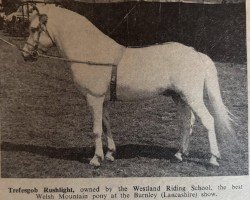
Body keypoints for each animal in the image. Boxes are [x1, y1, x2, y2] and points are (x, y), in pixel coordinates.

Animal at [22, 4, 234, 167]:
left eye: (33, 28)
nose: (25, 54)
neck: (91, 52)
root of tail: (196, 53)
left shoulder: (93, 98)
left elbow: (96, 129)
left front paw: (96, 159)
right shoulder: (103, 100)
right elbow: (106, 125)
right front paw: (109, 154)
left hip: (192, 96)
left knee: (208, 120)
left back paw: (213, 159)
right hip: (179, 97)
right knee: (186, 122)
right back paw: (179, 154)